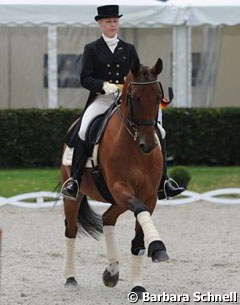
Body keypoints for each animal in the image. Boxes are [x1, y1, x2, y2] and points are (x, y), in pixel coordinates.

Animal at [60, 57, 169, 296]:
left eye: (158, 97)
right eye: (135, 98)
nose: (148, 145)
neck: (134, 146)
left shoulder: (149, 196)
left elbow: (139, 238)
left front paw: (138, 284)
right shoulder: (121, 188)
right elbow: (140, 212)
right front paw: (158, 246)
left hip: (118, 200)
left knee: (108, 218)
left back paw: (112, 272)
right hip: (76, 195)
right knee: (71, 230)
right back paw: (70, 278)